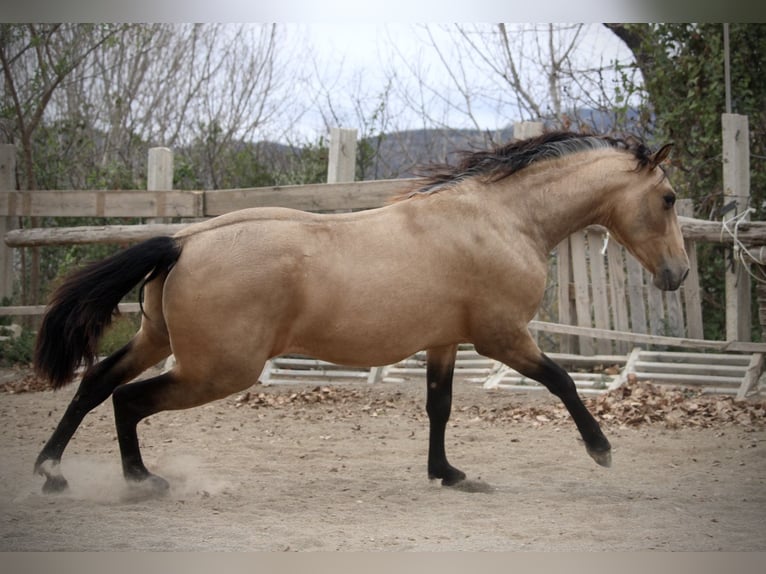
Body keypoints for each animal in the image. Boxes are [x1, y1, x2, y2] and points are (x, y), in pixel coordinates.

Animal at [30, 130, 692, 496]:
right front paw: (601, 450)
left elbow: (439, 406)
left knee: (96, 382)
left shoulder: (445, 341)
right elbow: (561, 381)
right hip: (217, 370)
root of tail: (182, 241)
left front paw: (448, 474)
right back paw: (141, 481)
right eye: (667, 198)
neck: (501, 220)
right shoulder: (503, 338)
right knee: (127, 399)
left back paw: (52, 471)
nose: (679, 275)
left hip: (160, 341)